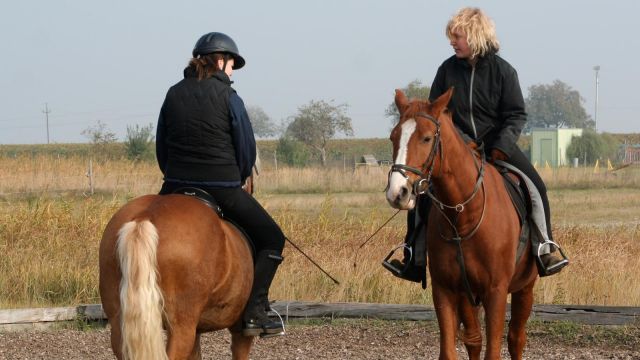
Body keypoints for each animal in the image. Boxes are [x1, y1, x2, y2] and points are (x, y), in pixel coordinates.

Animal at [388, 88, 536, 360]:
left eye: (426, 138)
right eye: (393, 137)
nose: (398, 192)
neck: (464, 215)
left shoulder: (496, 292)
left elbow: (494, 350)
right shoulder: (445, 290)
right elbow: (450, 350)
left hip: (524, 288)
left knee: (516, 339)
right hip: (467, 295)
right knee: (474, 339)